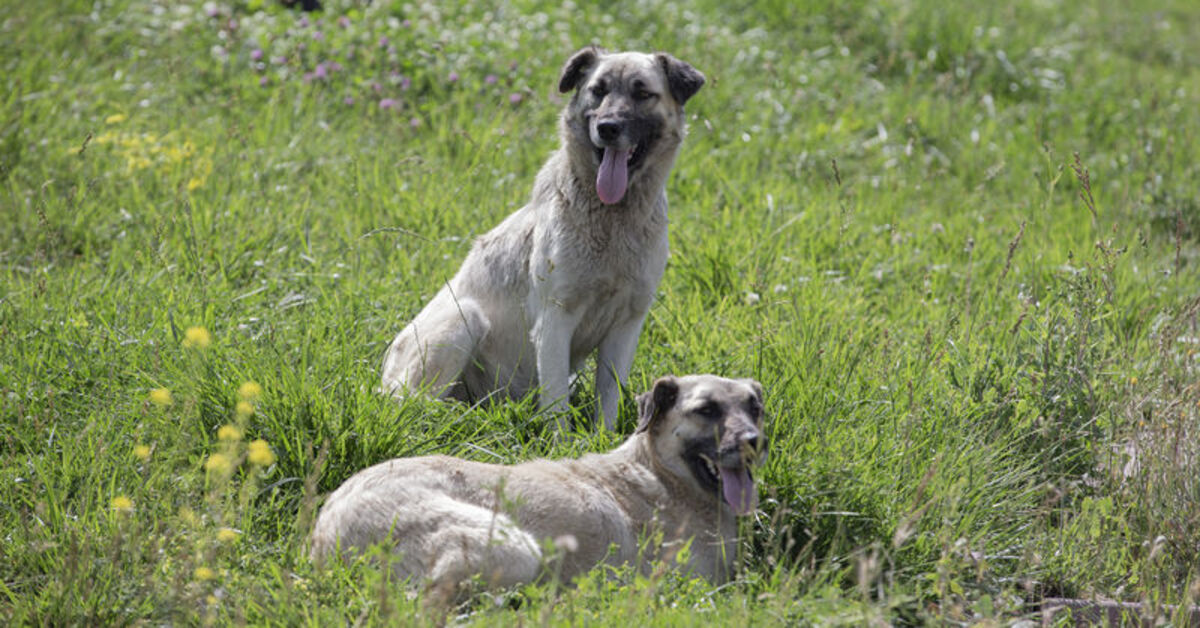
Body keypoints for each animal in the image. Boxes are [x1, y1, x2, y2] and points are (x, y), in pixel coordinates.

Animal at [309, 374, 768, 600]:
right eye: (706, 410)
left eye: (754, 407)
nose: (753, 443)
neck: (661, 474)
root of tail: (322, 537)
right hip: (514, 547)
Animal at [381, 42, 700, 427]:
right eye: (598, 91)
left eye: (642, 93)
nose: (608, 127)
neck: (612, 221)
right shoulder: (555, 321)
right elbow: (556, 404)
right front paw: (561, 441)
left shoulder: (626, 326)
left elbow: (607, 401)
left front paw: (605, 439)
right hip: (464, 319)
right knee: (413, 403)